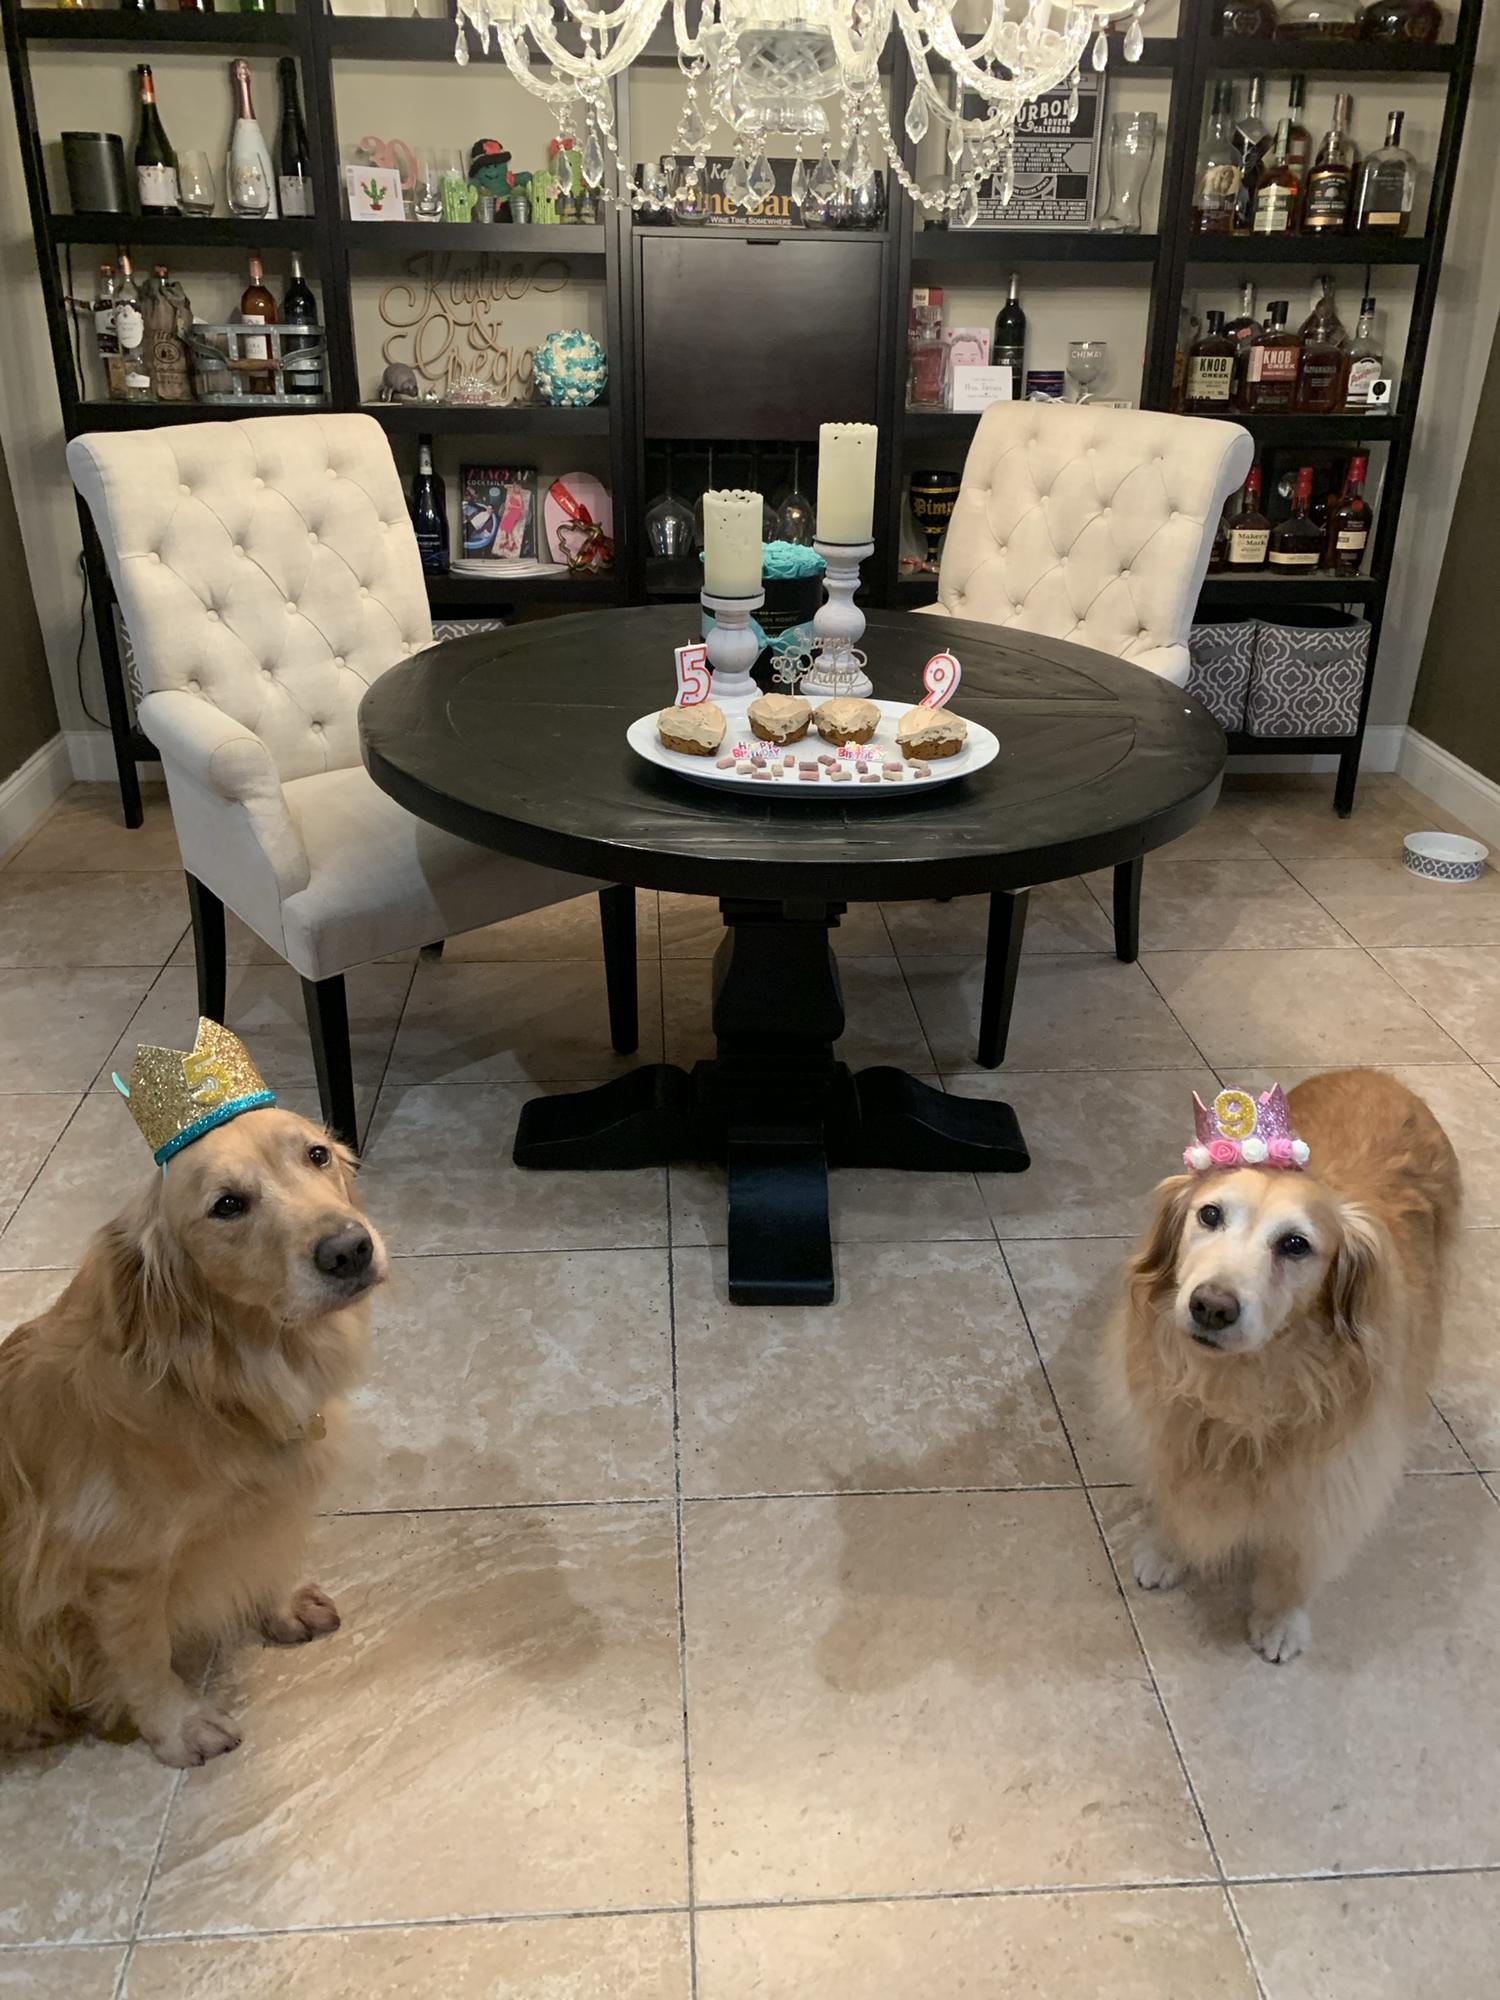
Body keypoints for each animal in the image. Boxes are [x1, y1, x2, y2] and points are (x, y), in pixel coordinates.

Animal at [0, 1106, 385, 1765]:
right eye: (227, 1205)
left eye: (317, 1155)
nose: (350, 1249)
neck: (216, 1385)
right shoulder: (118, 1569)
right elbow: (143, 1658)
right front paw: (179, 1727)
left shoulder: (262, 1509)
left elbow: (264, 1556)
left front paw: (279, 1606)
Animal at [1103, 1070, 1460, 1664]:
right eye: (1210, 1214)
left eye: (1295, 1244)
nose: (1211, 1306)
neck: (1245, 1383)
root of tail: (1379, 1075)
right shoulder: (1168, 1425)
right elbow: (1176, 1497)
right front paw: (1167, 1551)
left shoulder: (1334, 1479)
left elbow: (1296, 1560)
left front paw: (1279, 1619)